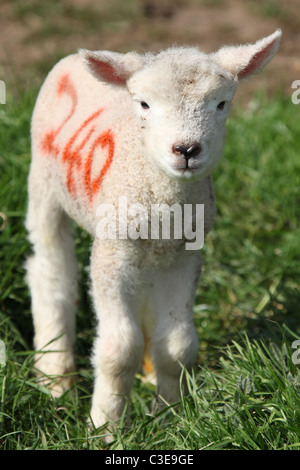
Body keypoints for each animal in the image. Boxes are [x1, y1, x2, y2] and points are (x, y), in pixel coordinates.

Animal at [25, 29, 282, 440]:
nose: (186, 149)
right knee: (51, 274)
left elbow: (176, 346)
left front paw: (172, 420)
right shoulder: (111, 253)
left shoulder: (184, 255)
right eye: (144, 104)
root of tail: (69, 60)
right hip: (44, 187)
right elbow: (118, 351)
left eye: (221, 103)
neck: (164, 204)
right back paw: (55, 378)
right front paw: (106, 427)